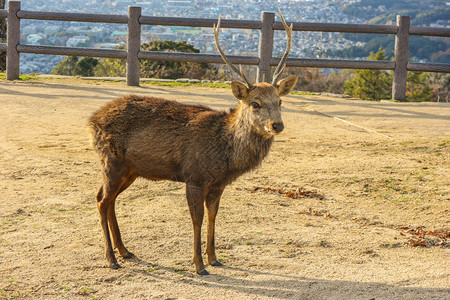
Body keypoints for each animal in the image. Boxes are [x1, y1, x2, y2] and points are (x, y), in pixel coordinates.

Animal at [89, 10, 298, 276]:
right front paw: (199, 265)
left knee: (109, 199)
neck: (225, 155)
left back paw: (125, 251)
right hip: (111, 161)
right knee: (101, 200)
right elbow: (196, 219)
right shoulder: (194, 177)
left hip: (130, 170)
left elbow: (213, 216)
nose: (277, 125)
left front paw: (214, 258)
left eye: (280, 101)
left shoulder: (218, 184)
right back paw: (111, 258)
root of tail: (93, 120)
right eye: (255, 103)